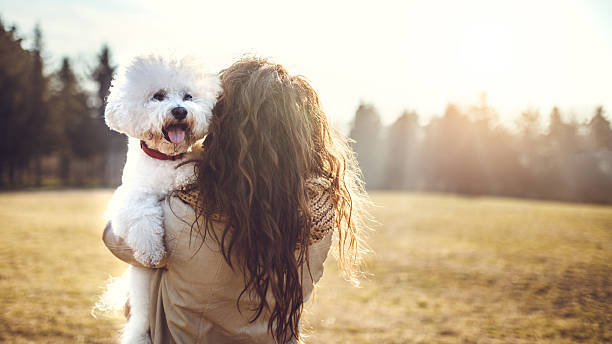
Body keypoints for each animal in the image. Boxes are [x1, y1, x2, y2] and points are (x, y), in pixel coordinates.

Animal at [103, 53, 220, 344]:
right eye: (158, 96)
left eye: (188, 97)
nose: (179, 110)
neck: (165, 158)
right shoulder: (127, 199)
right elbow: (142, 214)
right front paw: (151, 252)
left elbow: (192, 165)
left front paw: (186, 175)